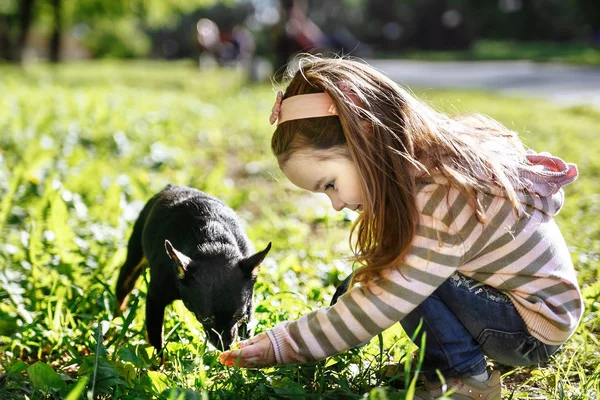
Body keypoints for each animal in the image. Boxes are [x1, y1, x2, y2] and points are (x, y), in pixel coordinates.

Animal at [115, 184, 270, 354]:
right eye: (205, 319)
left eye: (238, 316)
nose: (225, 346)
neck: (214, 244)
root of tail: (172, 187)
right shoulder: (155, 300)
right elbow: (157, 340)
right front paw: (158, 361)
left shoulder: (248, 306)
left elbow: (247, 332)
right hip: (135, 256)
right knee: (124, 287)